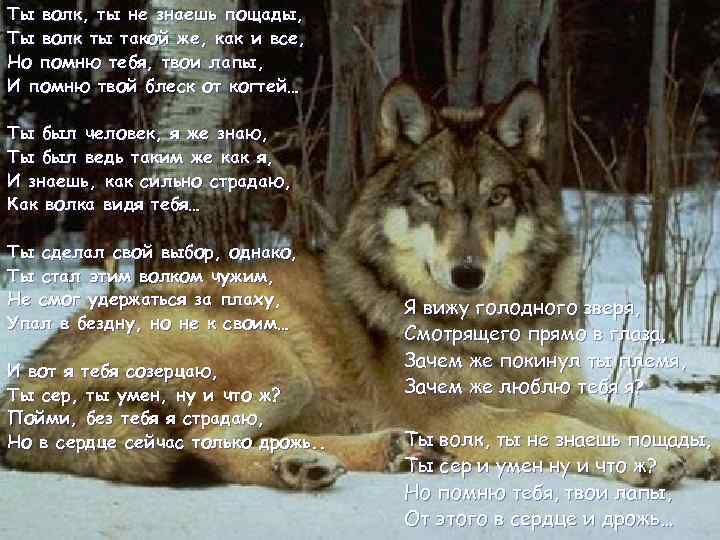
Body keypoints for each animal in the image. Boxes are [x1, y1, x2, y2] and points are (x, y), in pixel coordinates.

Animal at [1, 80, 719, 490]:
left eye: (495, 199)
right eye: (432, 196)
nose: (466, 273)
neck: (493, 324)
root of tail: (22, 385)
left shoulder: (560, 391)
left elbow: (634, 413)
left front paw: (698, 447)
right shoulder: (457, 416)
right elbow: (560, 429)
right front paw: (645, 461)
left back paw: (387, 452)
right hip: (273, 358)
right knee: (204, 445)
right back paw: (301, 468)